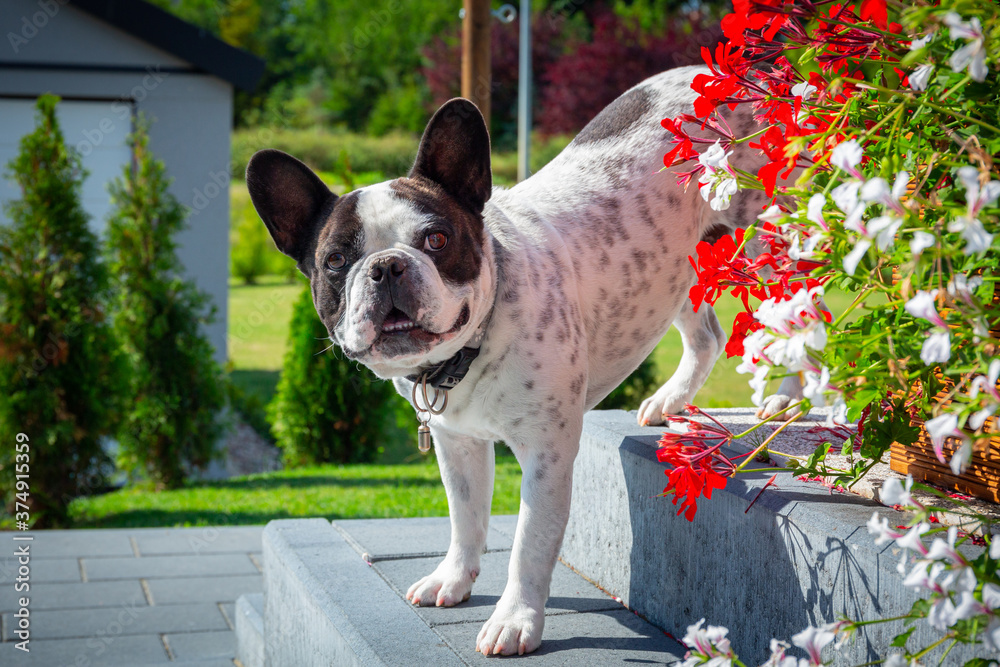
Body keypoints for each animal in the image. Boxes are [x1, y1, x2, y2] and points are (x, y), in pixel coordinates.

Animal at [244, 69, 788, 656]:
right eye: (336, 260)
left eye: (437, 239)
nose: (387, 266)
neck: (463, 355)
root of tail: (754, 77)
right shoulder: (456, 444)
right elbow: (465, 518)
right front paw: (452, 579)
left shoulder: (546, 455)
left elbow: (531, 542)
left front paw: (514, 619)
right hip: (680, 271)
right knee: (706, 335)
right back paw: (671, 400)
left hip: (771, 240)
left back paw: (786, 400)